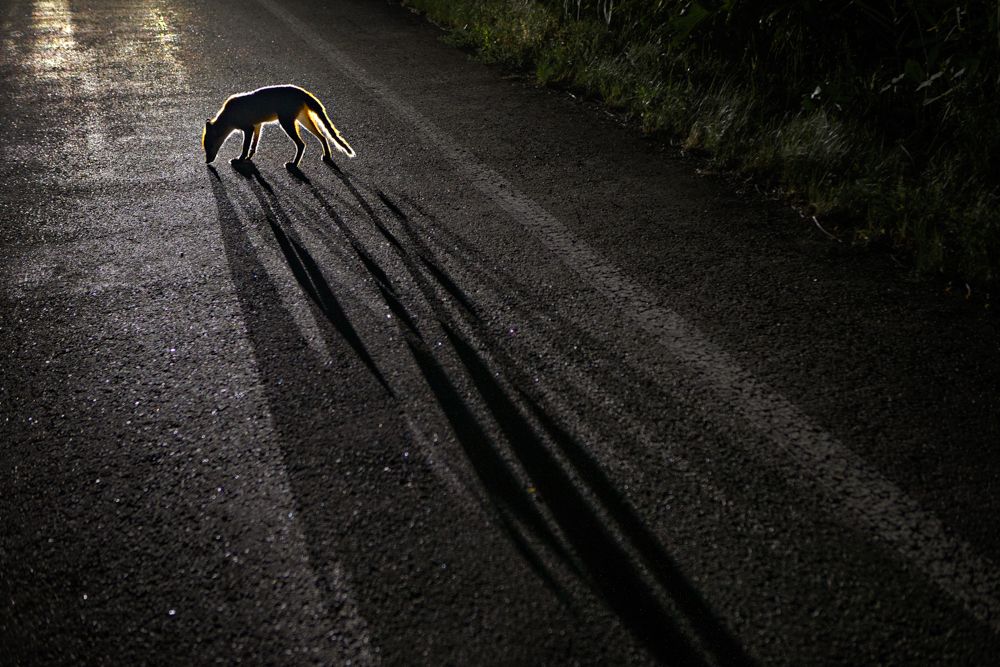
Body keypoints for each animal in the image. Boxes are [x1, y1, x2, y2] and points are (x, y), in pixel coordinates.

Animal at [202, 84, 355, 168]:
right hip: (302, 120)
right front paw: (249, 158)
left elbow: (245, 147)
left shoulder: (248, 128)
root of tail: (302, 91)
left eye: (208, 147)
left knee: (302, 144)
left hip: (286, 122)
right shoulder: (257, 125)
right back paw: (327, 155)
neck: (228, 115)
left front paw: (240, 160)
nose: (206, 161)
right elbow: (253, 146)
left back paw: (294, 164)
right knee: (323, 136)